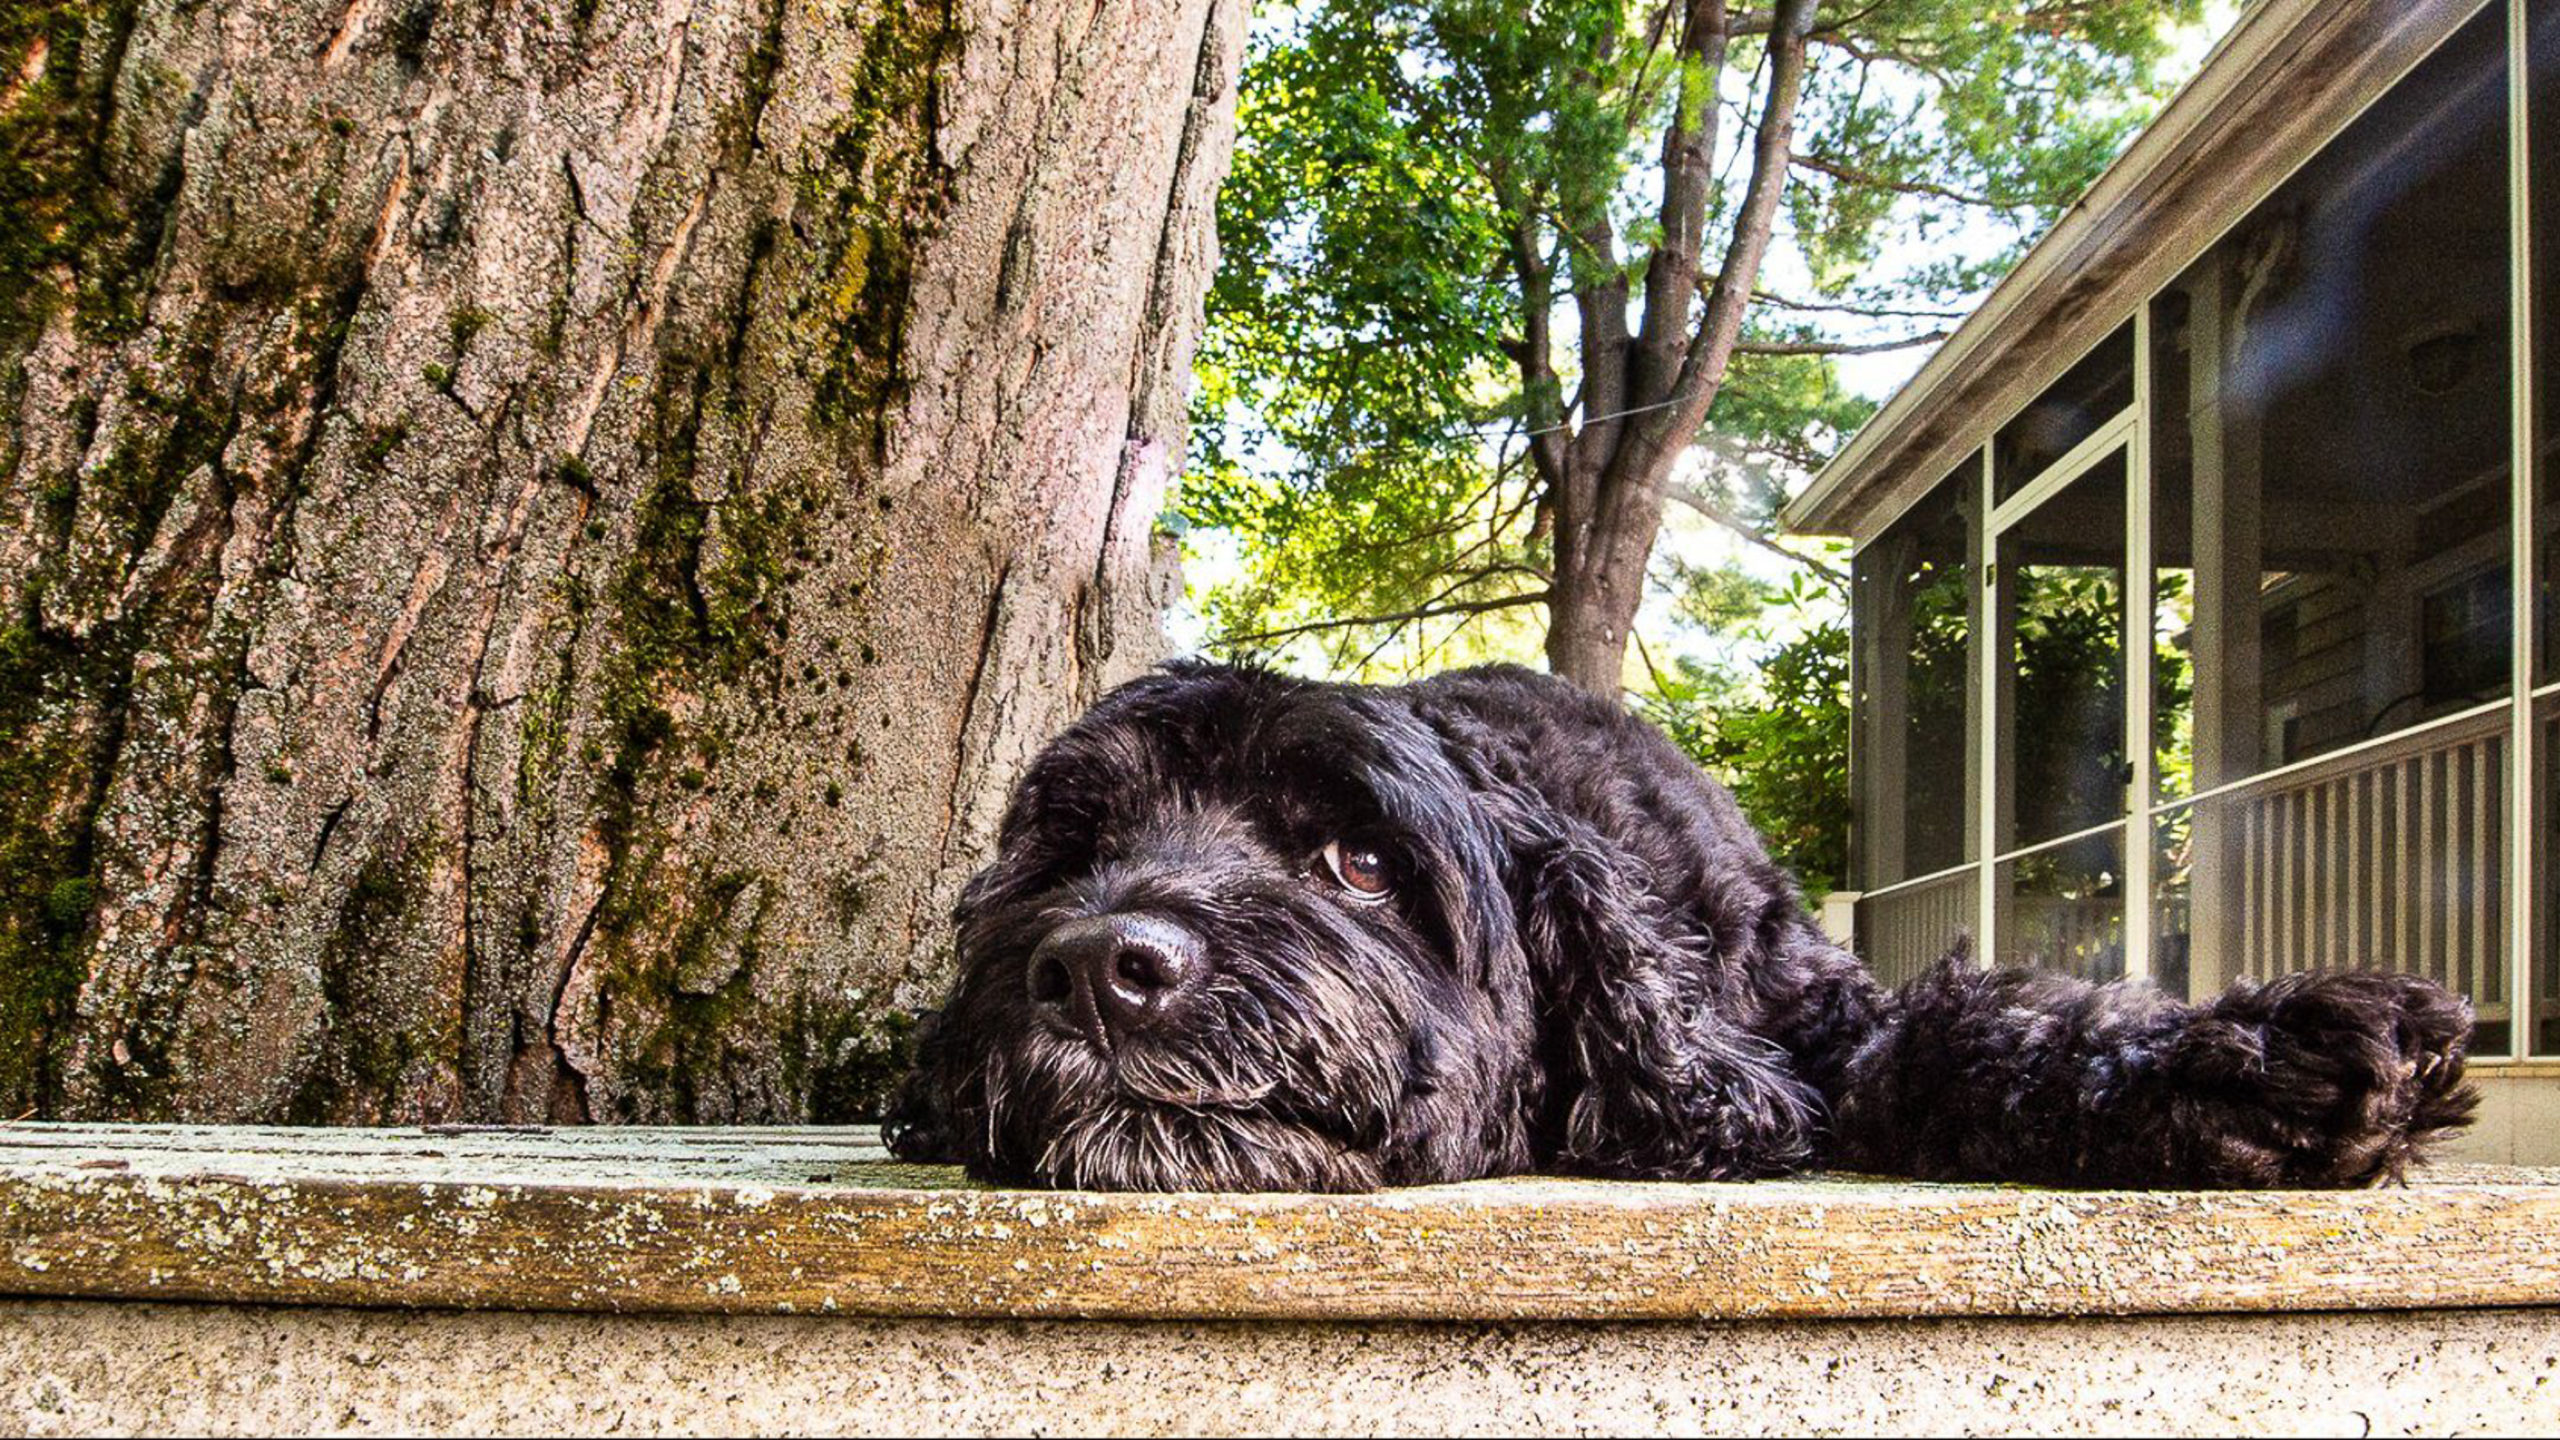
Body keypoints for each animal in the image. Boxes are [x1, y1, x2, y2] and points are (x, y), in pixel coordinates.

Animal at [885, 661, 2478, 1188]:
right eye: (1079, 850)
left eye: (1357, 859)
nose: (1101, 967)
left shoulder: (1817, 1016)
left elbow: (1986, 1023)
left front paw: (2261, 1055)